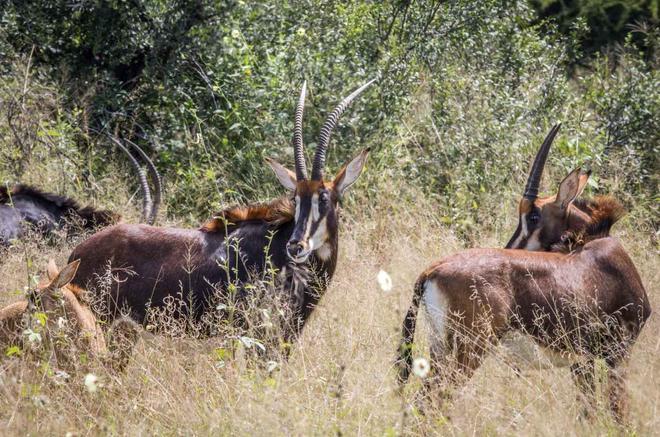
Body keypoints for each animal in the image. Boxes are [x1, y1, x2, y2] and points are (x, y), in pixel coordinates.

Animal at [398, 124, 648, 420]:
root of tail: (432, 270)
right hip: (468, 351)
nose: (509, 248)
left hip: (440, 350)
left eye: (534, 216)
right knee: (430, 402)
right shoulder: (618, 354)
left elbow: (587, 411)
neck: (601, 250)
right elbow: (618, 412)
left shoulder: (581, 362)